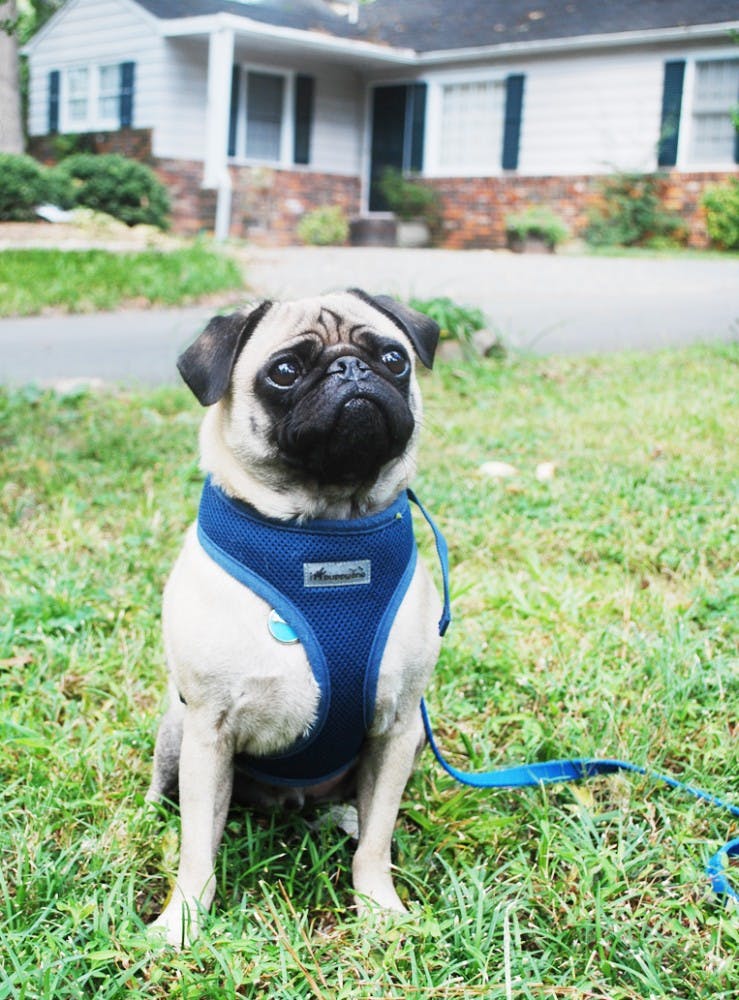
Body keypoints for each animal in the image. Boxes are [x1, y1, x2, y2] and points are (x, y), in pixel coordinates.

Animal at [146, 288, 446, 944]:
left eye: (393, 359)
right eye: (284, 371)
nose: (350, 369)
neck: (325, 535)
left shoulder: (398, 727)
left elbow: (377, 841)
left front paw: (378, 907)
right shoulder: (208, 732)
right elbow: (197, 848)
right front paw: (183, 921)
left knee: (364, 813)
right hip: (177, 732)